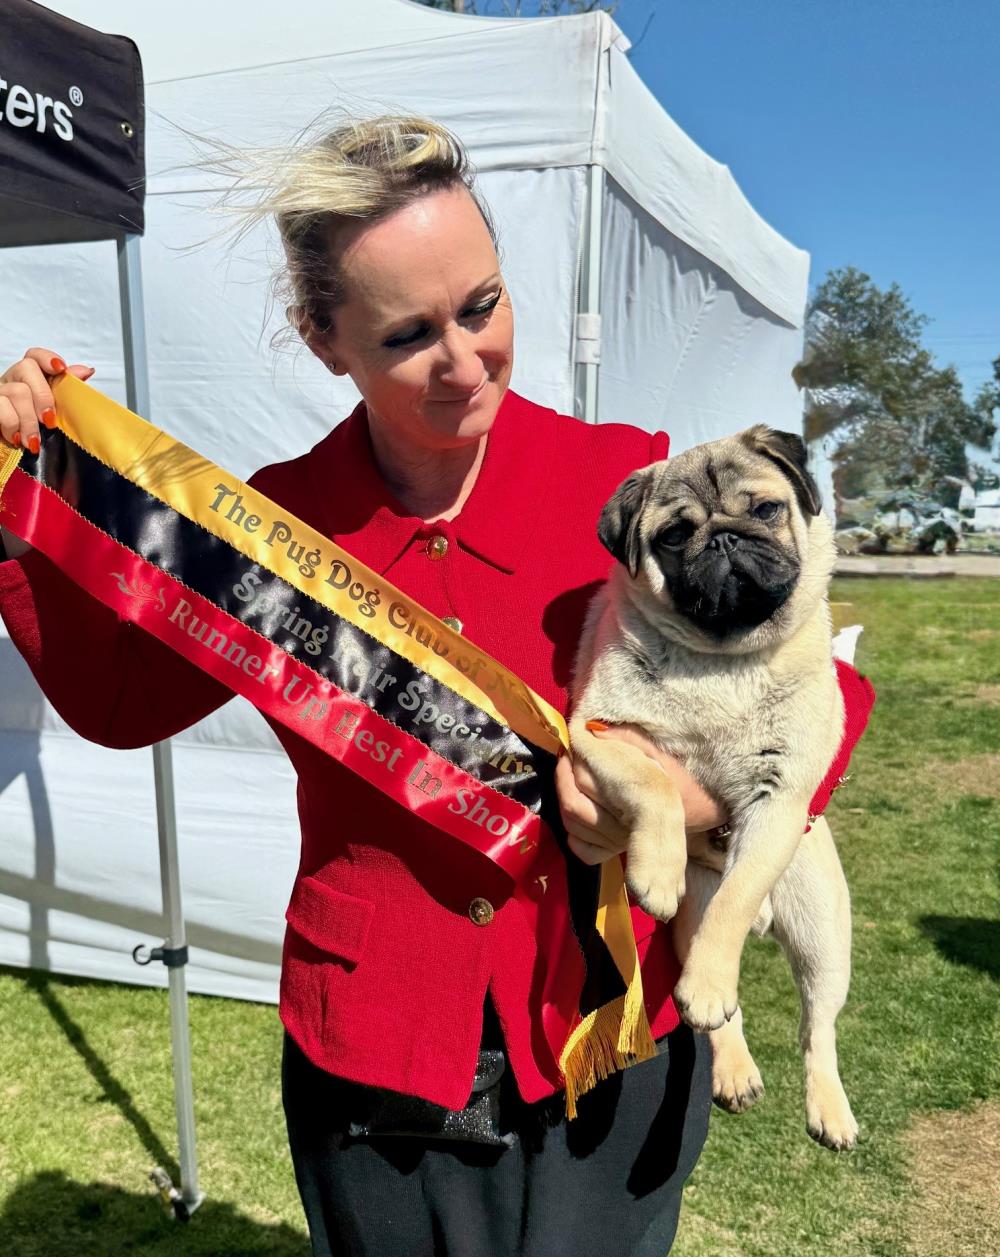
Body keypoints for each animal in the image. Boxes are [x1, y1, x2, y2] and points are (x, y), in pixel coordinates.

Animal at [570, 425, 858, 1149]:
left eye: (767, 510)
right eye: (676, 535)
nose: (724, 539)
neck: (722, 660)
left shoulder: (781, 798)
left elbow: (736, 900)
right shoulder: (599, 732)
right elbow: (657, 784)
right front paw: (655, 871)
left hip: (822, 933)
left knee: (817, 1026)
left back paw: (829, 1110)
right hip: (689, 920)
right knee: (722, 1007)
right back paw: (733, 1069)